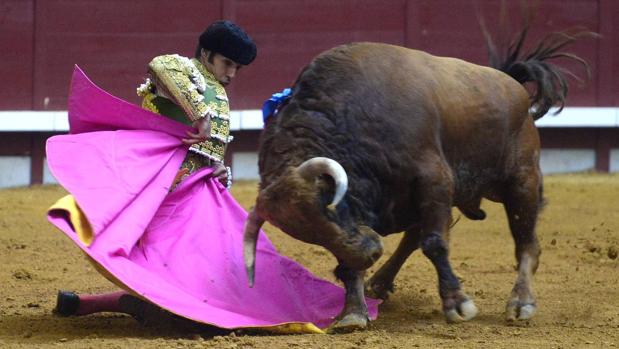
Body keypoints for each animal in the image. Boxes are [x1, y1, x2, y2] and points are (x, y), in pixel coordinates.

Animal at [241, 22, 592, 332]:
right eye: (309, 235)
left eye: (329, 205)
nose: (370, 253)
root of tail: (512, 83)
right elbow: (361, 257)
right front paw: (353, 313)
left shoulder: (434, 180)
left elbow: (435, 243)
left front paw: (458, 304)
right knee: (413, 236)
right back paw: (380, 283)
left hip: (521, 182)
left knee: (526, 242)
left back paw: (521, 303)